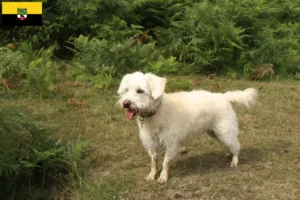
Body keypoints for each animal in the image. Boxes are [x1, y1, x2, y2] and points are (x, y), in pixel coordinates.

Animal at [117, 71, 258, 183]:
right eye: (126, 90)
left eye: (140, 91)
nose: (126, 103)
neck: (156, 112)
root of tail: (224, 96)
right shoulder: (150, 143)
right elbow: (153, 161)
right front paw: (152, 175)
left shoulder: (171, 143)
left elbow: (166, 162)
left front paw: (163, 177)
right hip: (216, 132)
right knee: (231, 145)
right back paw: (229, 153)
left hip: (225, 131)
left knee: (236, 146)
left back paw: (234, 160)